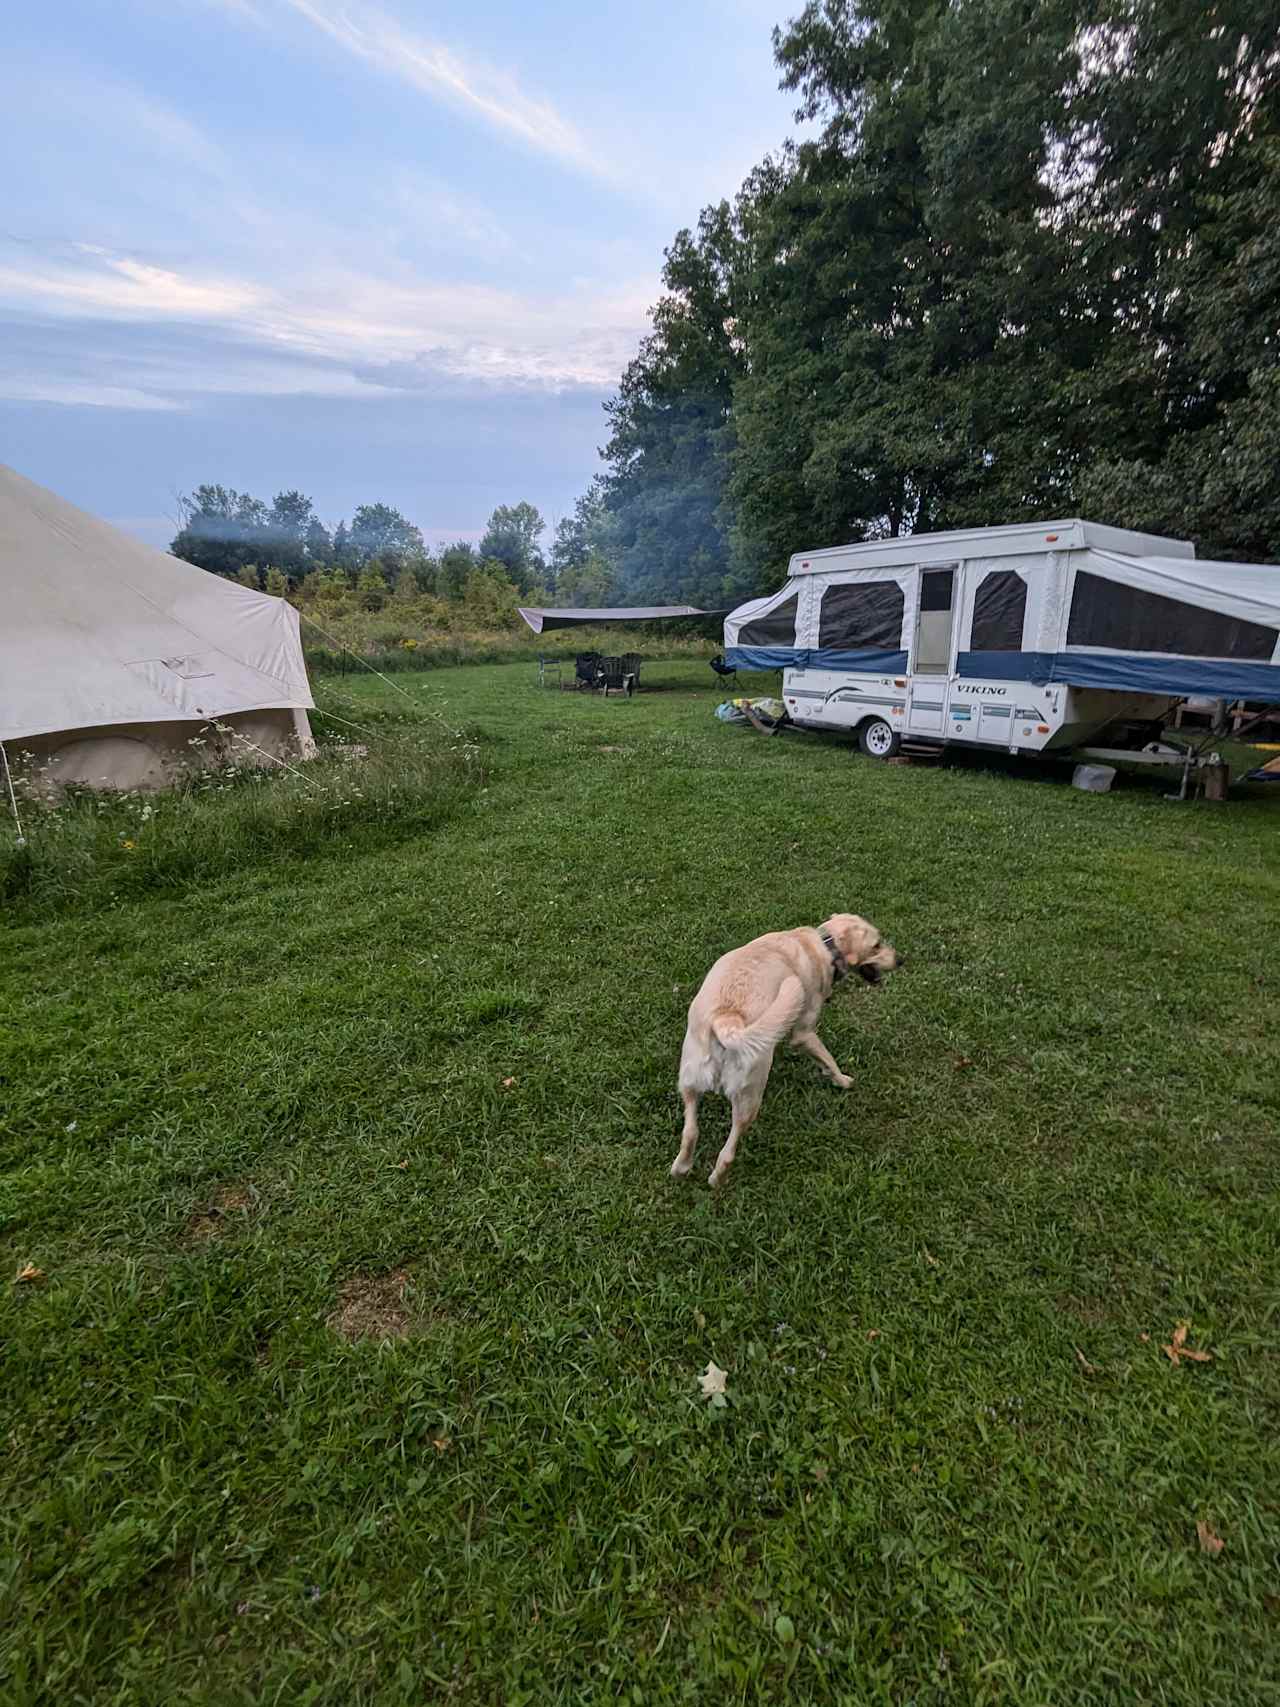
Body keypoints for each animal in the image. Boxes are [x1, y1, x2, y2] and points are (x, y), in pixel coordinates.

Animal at [672, 908, 901, 1188]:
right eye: (876, 945)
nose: (901, 960)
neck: (824, 945)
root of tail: (727, 1020)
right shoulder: (804, 1033)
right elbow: (828, 1058)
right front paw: (842, 1080)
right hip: (749, 1098)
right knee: (727, 1152)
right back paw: (717, 1180)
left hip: (689, 1081)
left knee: (690, 1132)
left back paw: (681, 1168)